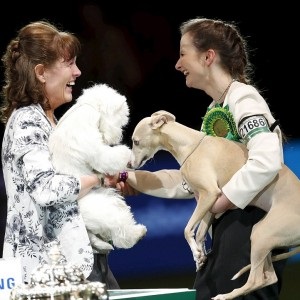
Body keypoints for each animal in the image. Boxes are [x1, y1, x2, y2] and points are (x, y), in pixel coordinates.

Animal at [48, 83, 146, 252]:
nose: (119, 136)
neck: (90, 107)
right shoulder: (98, 152)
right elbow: (110, 156)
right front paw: (128, 154)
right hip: (105, 210)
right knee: (121, 235)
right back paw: (138, 233)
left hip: (111, 201)